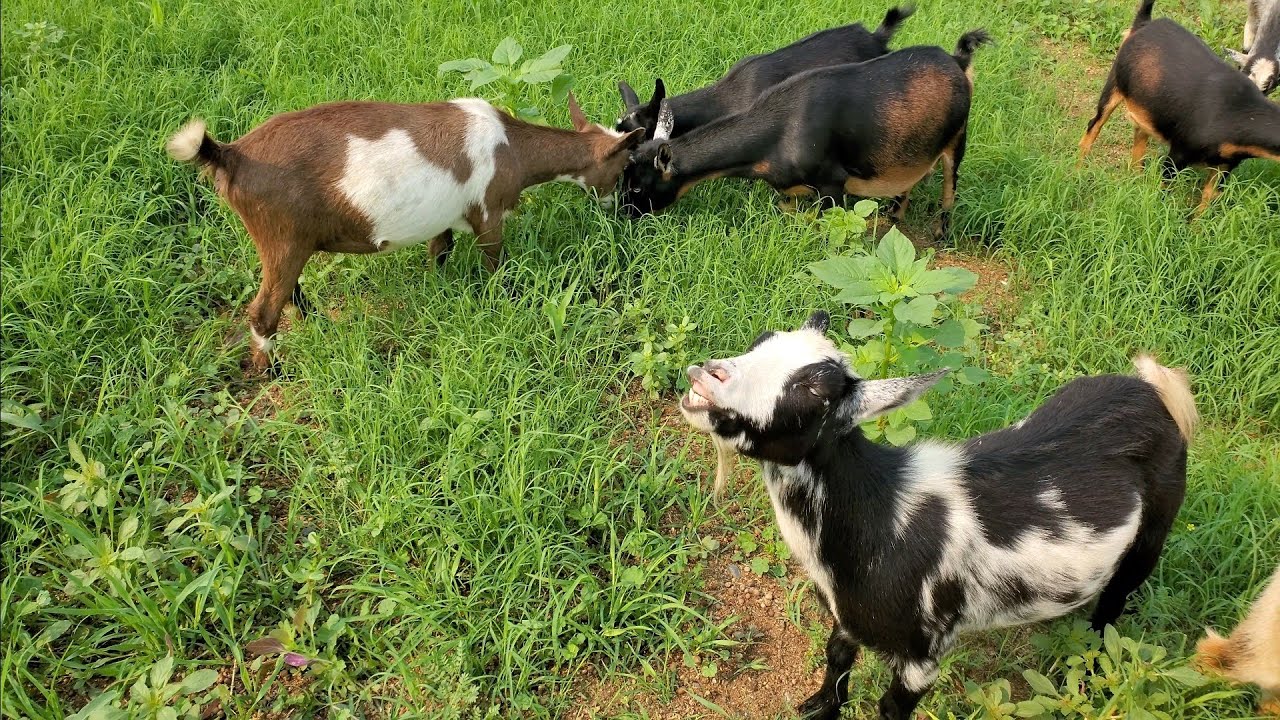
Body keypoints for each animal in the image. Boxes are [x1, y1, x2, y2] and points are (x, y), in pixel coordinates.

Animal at [167, 95, 643, 371]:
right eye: (625, 167)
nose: (622, 212)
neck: (512, 146)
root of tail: (230, 155)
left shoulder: (446, 217)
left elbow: (440, 252)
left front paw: (438, 296)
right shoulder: (489, 214)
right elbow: (495, 266)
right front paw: (504, 306)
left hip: (286, 242)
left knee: (289, 290)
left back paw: (319, 323)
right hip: (280, 237)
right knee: (263, 311)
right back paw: (273, 371)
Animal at [621, 30, 992, 241]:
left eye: (638, 187)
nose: (622, 215)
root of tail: (958, 60)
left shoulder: (833, 185)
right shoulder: (787, 191)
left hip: (957, 136)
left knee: (949, 183)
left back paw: (940, 233)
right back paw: (894, 215)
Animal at [678, 311, 1196, 720]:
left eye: (815, 391)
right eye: (761, 338)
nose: (707, 376)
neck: (881, 514)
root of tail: (1152, 390)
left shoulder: (924, 653)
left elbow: (890, 706)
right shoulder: (847, 615)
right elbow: (837, 657)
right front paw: (819, 708)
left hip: (1153, 530)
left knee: (1114, 603)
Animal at [1078, 0, 1280, 213]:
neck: (1238, 112)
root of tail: (1144, 23)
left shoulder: (1225, 166)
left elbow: (1206, 202)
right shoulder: (1179, 153)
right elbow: (1165, 189)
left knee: (1139, 139)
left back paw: (1134, 182)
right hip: (1115, 82)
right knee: (1095, 124)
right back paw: (1077, 170)